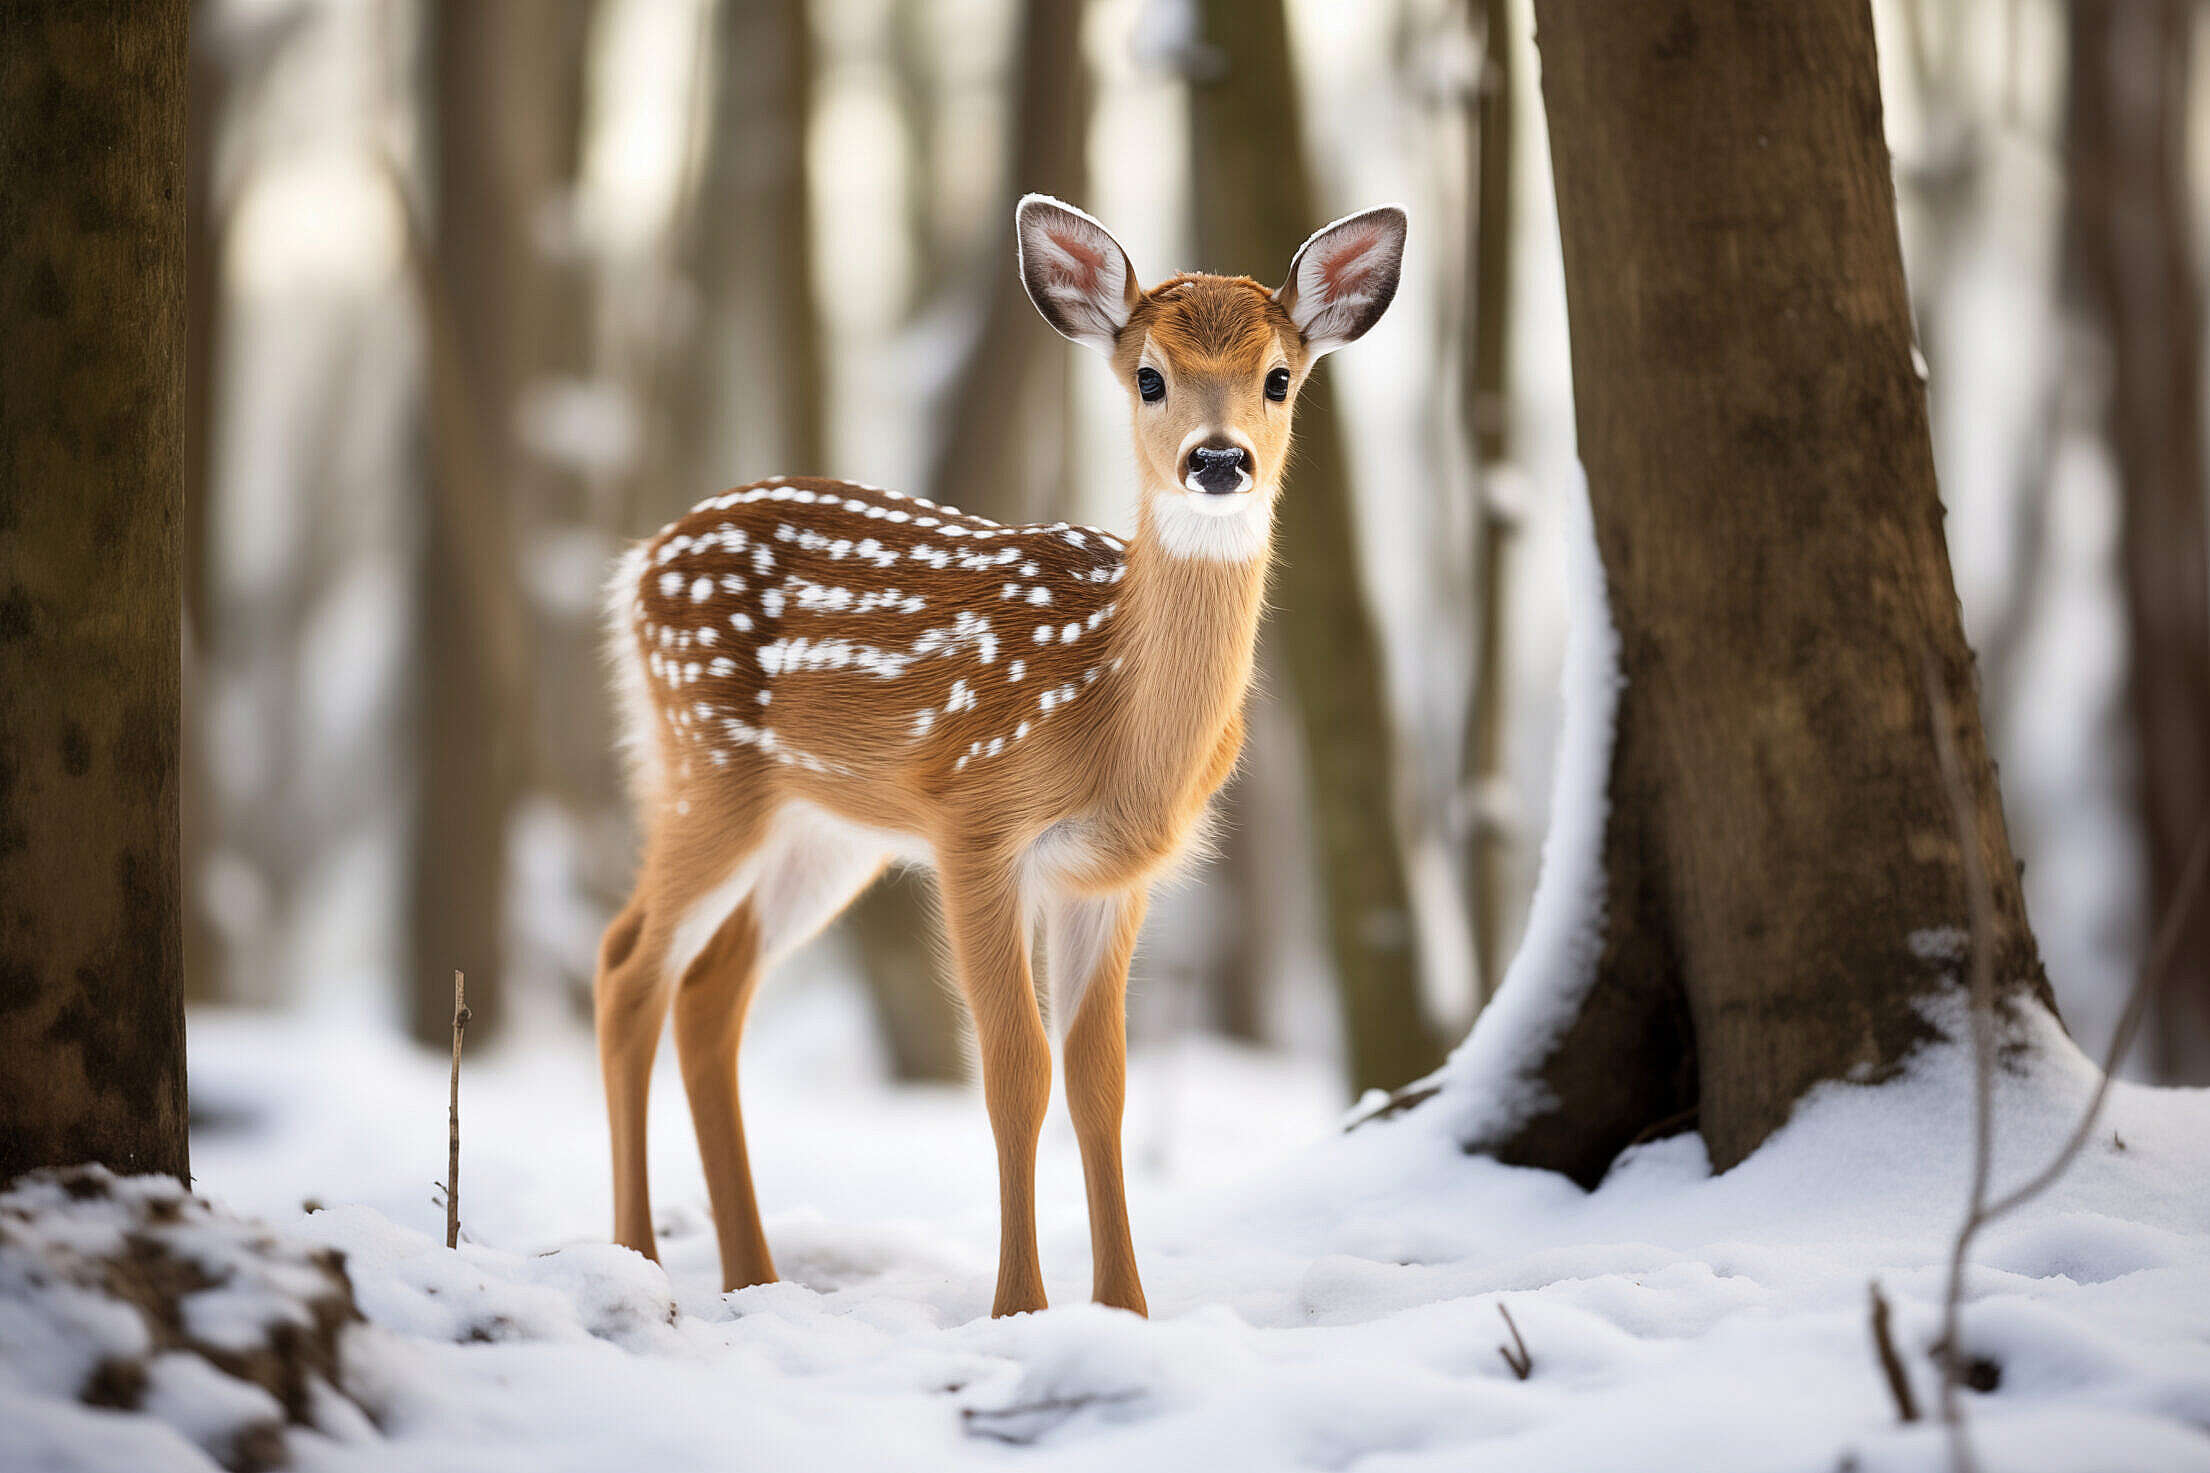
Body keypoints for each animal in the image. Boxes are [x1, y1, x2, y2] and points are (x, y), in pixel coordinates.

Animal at [596, 193, 1405, 1316]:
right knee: (627, 966)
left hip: (824, 831)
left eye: (1279, 377)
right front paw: (1019, 1308)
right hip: (706, 769)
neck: (1113, 713)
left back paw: (752, 1277)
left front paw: (1124, 1312)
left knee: (709, 992)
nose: (1218, 460)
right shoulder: (974, 823)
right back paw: (635, 1260)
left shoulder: (1107, 875)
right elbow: (1016, 1069)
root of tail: (637, 562)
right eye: (1148, 375)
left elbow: (1100, 1081)